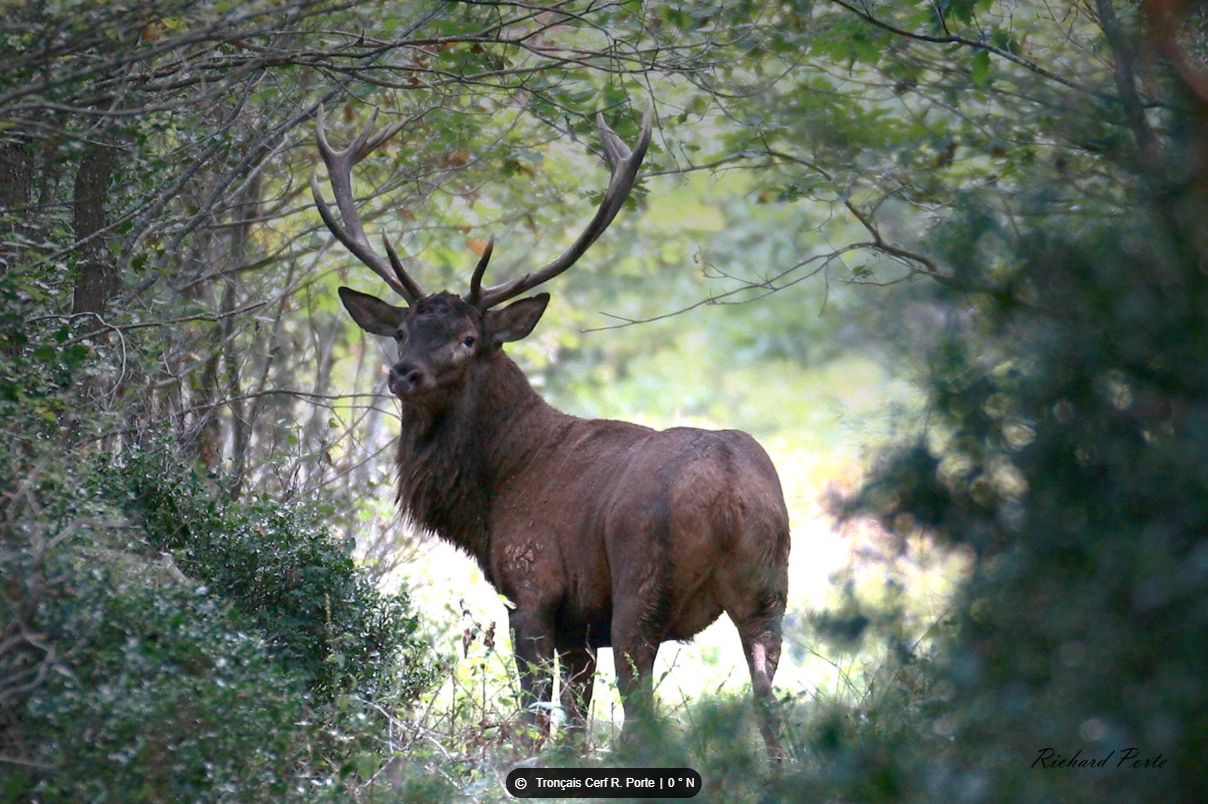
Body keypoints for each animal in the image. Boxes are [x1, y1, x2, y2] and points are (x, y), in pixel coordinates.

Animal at [312, 101, 791, 758]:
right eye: (402, 331)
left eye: (469, 338)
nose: (403, 373)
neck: (492, 496)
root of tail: (730, 495)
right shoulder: (580, 624)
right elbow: (575, 721)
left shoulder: (534, 588)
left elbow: (535, 717)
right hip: (770, 595)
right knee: (772, 710)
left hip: (643, 585)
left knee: (643, 714)